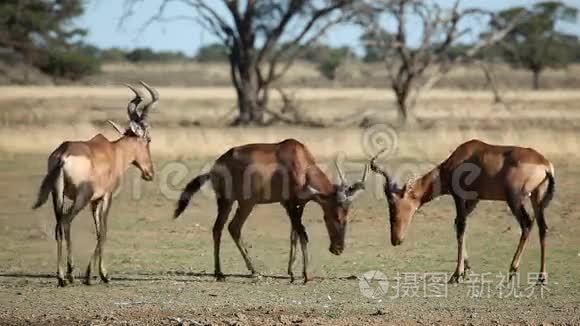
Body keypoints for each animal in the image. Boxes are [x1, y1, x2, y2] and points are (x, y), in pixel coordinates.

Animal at [31, 81, 159, 286]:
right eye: (148, 139)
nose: (150, 173)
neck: (113, 151)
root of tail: (63, 155)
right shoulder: (106, 197)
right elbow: (104, 231)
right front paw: (97, 275)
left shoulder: (94, 201)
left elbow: (98, 231)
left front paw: (96, 273)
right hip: (81, 197)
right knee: (66, 221)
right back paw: (67, 275)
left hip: (57, 195)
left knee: (58, 226)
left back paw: (64, 275)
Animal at [174, 139, 370, 284]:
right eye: (333, 216)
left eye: (347, 216)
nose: (338, 249)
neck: (298, 160)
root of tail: (214, 167)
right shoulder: (290, 204)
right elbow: (303, 234)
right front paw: (306, 275)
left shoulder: (296, 205)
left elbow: (294, 235)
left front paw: (292, 273)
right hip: (233, 201)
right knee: (225, 228)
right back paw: (230, 273)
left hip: (239, 203)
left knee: (226, 228)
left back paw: (241, 272)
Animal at [370, 139, 556, 284]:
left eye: (394, 207)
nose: (396, 240)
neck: (462, 156)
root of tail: (546, 164)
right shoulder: (474, 200)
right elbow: (459, 226)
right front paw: (467, 270)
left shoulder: (459, 197)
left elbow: (460, 227)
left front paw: (456, 275)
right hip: (537, 198)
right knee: (543, 227)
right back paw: (541, 277)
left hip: (515, 199)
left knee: (527, 224)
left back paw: (513, 270)